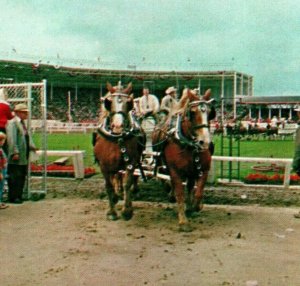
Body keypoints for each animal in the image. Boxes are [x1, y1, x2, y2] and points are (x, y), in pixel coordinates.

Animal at [94, 82, 145, 221]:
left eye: (129, 103)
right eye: (109, 102)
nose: (118, 127)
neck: (116, 139)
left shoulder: (130, 162)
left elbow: (128, 182)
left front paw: (127, 210)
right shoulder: (104, 166)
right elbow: (109, 186)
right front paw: (111, 211)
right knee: (116, 177)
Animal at [154, 88, 214, 231]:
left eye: (210, 113)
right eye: (192, 112)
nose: (205, 142)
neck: (190, 145)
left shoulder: (203, 169)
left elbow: (198, 192)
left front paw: (195, 206)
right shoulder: (175, 170)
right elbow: (180, 193)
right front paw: (183, 221)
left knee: (191, 186)